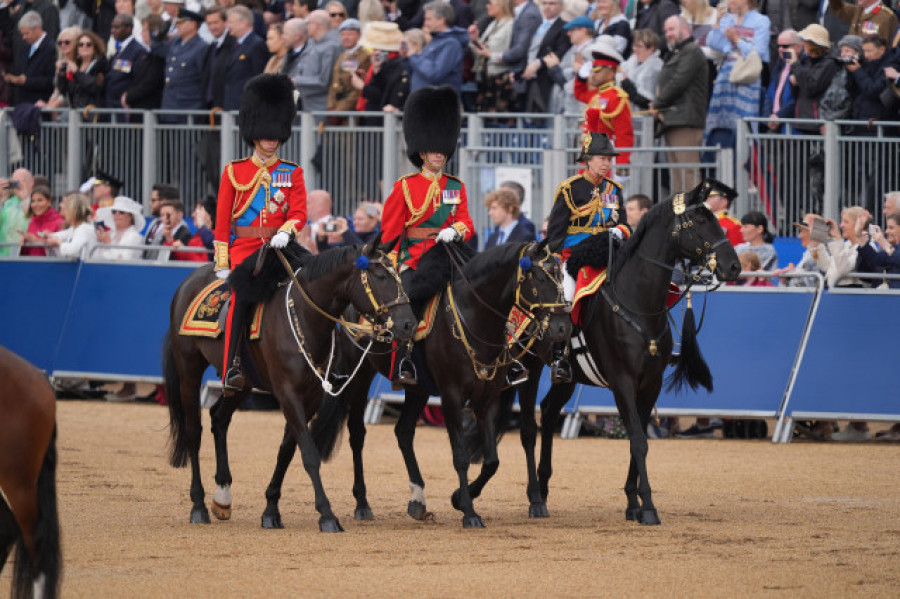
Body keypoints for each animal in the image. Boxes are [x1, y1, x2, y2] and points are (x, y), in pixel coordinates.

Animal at [163, 241, 416, 532]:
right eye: (381, 276)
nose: (409, 324)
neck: (305, 318)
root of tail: (188, 282)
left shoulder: (311, 397)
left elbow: (287, 450)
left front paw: (271, 509)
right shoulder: (288, 394)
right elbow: (309, 453)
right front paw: (326, 513)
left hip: (243, 384)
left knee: (219, 418)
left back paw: (223, 496)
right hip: (189, 370)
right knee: (194, 431)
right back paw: (199, 505)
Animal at [260, 241, 568, 528]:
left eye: (561, 275)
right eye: (539, 277)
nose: (562, 328)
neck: (473, 318)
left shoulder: (487, 397)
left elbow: (492, 460)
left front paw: (460, 498)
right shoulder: (452, 396)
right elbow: (460, 456)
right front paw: (469, 511)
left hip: (418, 388)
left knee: (404, 432)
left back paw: (417, 498)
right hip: (359, 376)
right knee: (358, 434)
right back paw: (362, 503)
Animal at [512, 188, 740, 524]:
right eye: (700, 221)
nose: (734, 266)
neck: (639, 304)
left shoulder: (650, 384)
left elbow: (637, 440)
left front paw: (633, 503)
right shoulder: (623, 383)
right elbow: (638, 441)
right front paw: (648, 506)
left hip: (568, 377)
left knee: (550, 411)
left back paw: (544, 486)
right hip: (529, 366)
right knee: (529, 428)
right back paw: (535, 499)